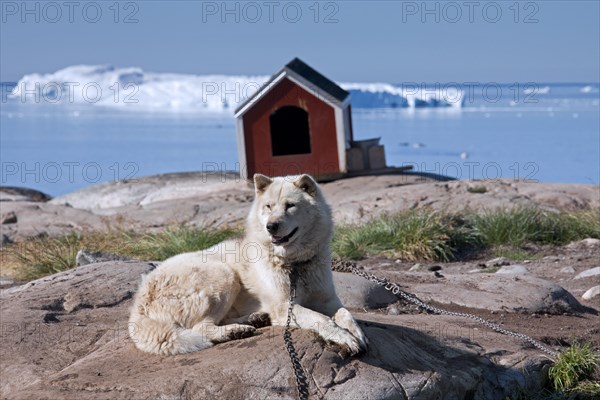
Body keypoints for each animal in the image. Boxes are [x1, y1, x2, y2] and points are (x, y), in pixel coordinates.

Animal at [129, 173, 368, 354]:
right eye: (268, 206)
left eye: (290, 206)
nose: (271, 226)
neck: (295, 264)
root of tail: (139, 304)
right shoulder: (284, 307)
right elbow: (321, 318)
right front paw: (343, 337)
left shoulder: (328, 300)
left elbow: (345, 314)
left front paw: (357, 333)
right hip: (223, 275)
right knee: (201, 327)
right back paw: (235, 331)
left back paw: (254, 320)